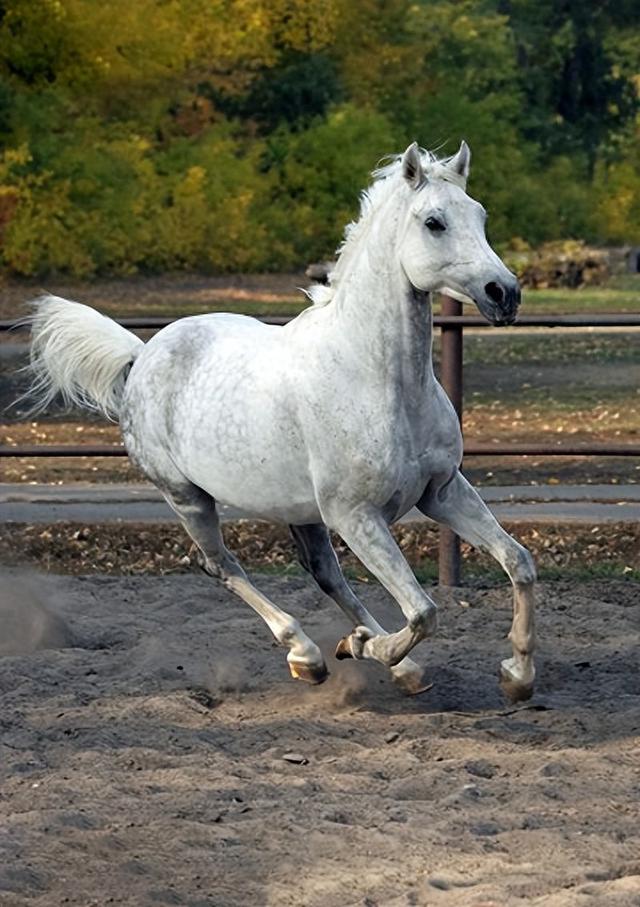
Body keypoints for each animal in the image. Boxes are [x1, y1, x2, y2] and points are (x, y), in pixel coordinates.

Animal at [23, 144, 536, 704]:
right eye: (434, 222)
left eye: (480, 216)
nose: (504, 293)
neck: (378, 378)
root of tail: (141, 354)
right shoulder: (357, 516)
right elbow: (424, 612)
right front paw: (363, 648)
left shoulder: (440, 492)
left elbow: (518, 563)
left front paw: (517, 676)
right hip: (188, 497)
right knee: (220, 565)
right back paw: (310, 655)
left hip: (304, 512)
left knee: (325, 574)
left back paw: (389, 664)